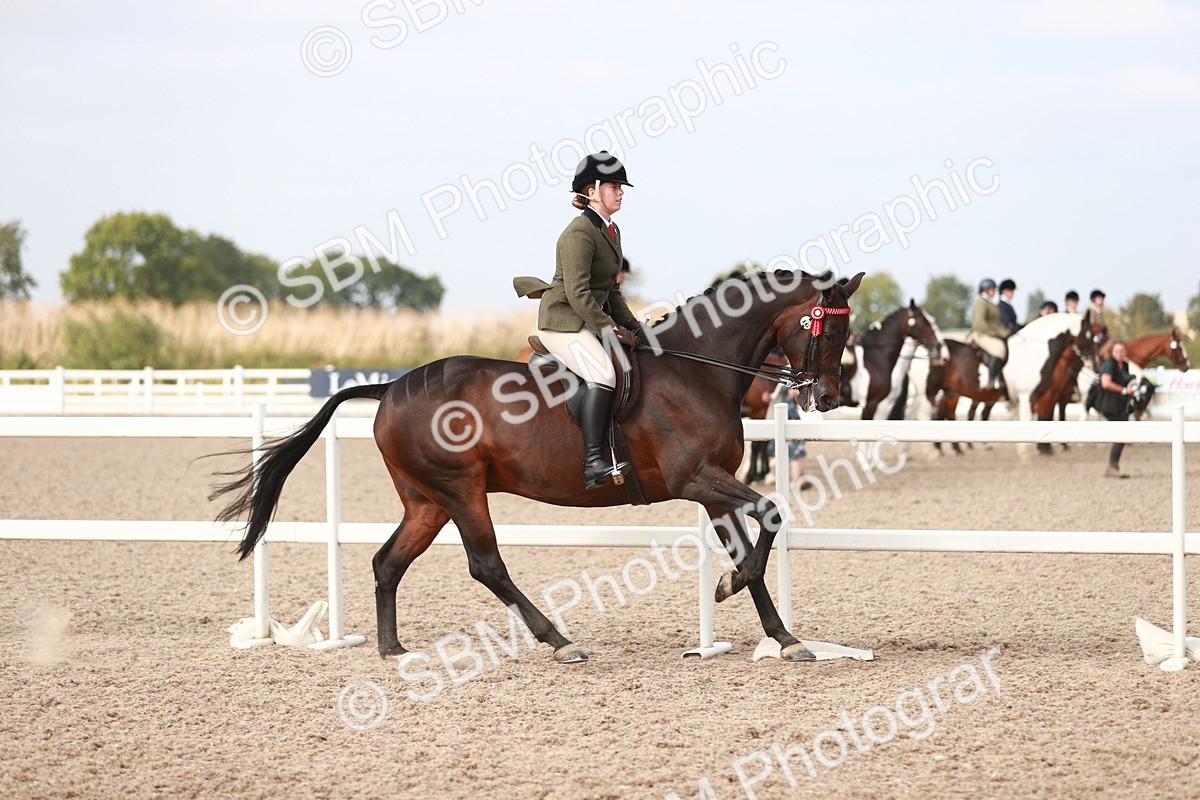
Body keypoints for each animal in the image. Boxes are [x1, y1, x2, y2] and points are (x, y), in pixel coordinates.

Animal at [212, 270, 866, 664]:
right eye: (826, 329)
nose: (829, 398)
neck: (698, 369)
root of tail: (393, 386)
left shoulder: (713, 489)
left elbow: (753, 548)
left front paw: (782, 636)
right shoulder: (696, 480)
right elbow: (772, 515)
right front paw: (733, 592)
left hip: (426, 500)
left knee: (388, 562)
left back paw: (392, 649)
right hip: (461, 491)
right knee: (485, 565)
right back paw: (557, 640)